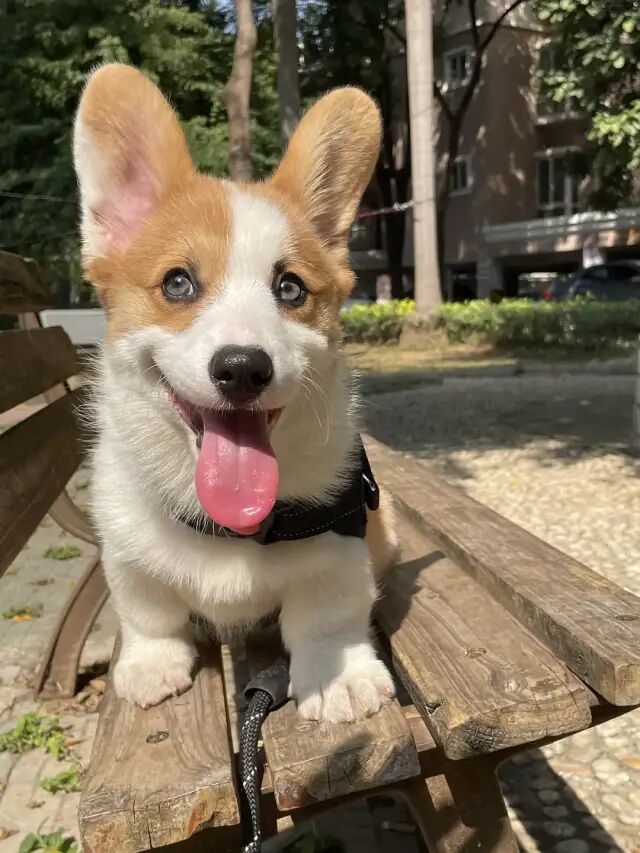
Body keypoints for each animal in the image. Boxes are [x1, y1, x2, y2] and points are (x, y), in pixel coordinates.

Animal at [74, 64, 398, 723]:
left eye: (290, 288)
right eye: (177, 283)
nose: (244, 369)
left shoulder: (341, 545)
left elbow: (326, 617)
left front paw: (341, 679)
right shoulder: (125, 551)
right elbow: (148, 612)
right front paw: (151, 665)